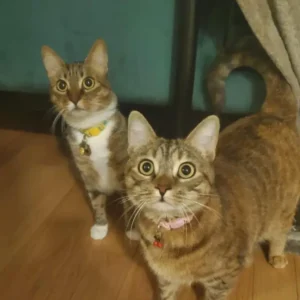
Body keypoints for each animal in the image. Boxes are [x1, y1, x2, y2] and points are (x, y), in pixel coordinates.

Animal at [41, 39, 138, 241]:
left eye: (88, 82)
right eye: (61, 85)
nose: (74, 99)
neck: (91, 131)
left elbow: (130, 204)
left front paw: (131, 231)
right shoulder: (87, 174)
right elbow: (96, 201)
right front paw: (101, 226)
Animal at [123, 35, 300, 300]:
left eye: (186, 170)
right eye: (146, 167)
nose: (162, 187)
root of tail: (269, 114)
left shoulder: (221, 281)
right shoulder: (165, 279)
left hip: (285, 209)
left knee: (280, 231)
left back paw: (277, 255)